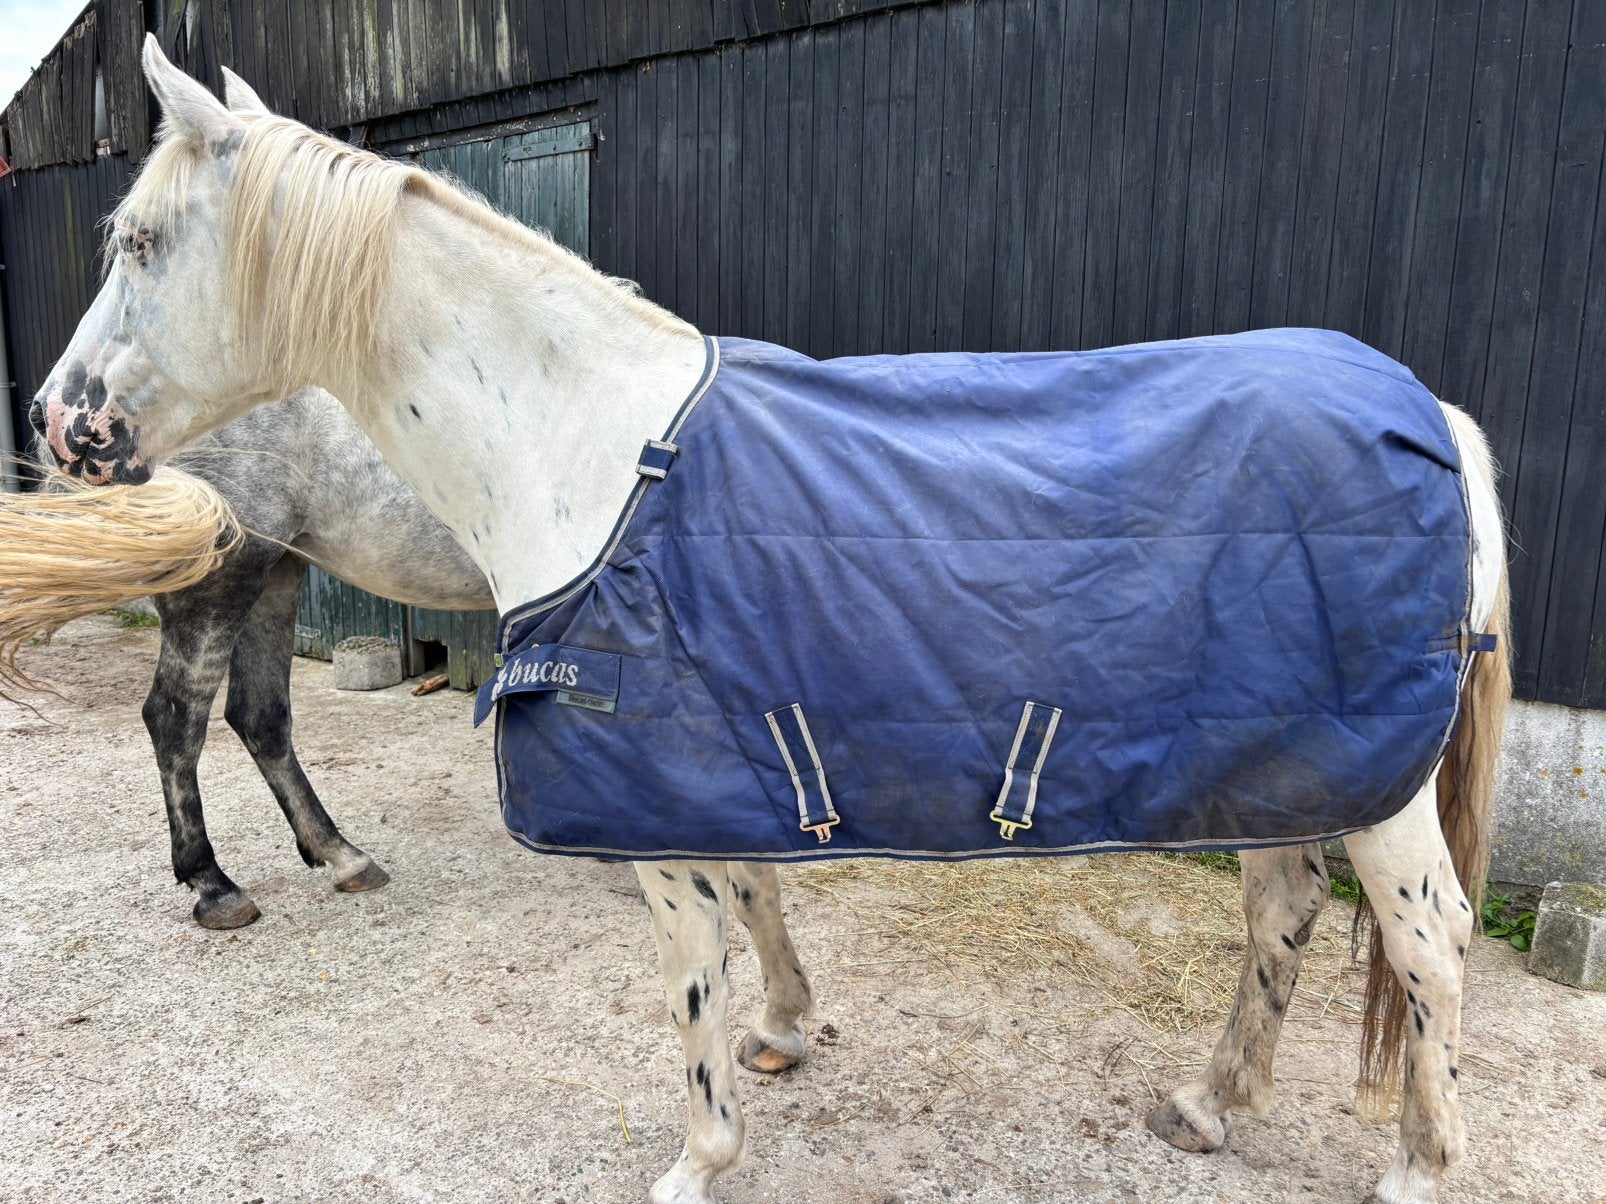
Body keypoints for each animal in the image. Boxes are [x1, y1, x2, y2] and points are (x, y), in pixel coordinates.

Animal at [28, 39, 1510, 1204]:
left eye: (139, 242)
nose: (57, 426)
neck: (593, 452)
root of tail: (1431, 414)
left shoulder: (665, 785)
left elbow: (697, 967)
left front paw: (700, 1155)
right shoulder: (724, 744)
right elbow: (757, 898)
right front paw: (789, 1031)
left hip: (1371, 785)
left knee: (1428, 942)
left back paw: (1417, 1165)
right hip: (1288, 757)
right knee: (1282, 912)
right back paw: (1210, 1105)